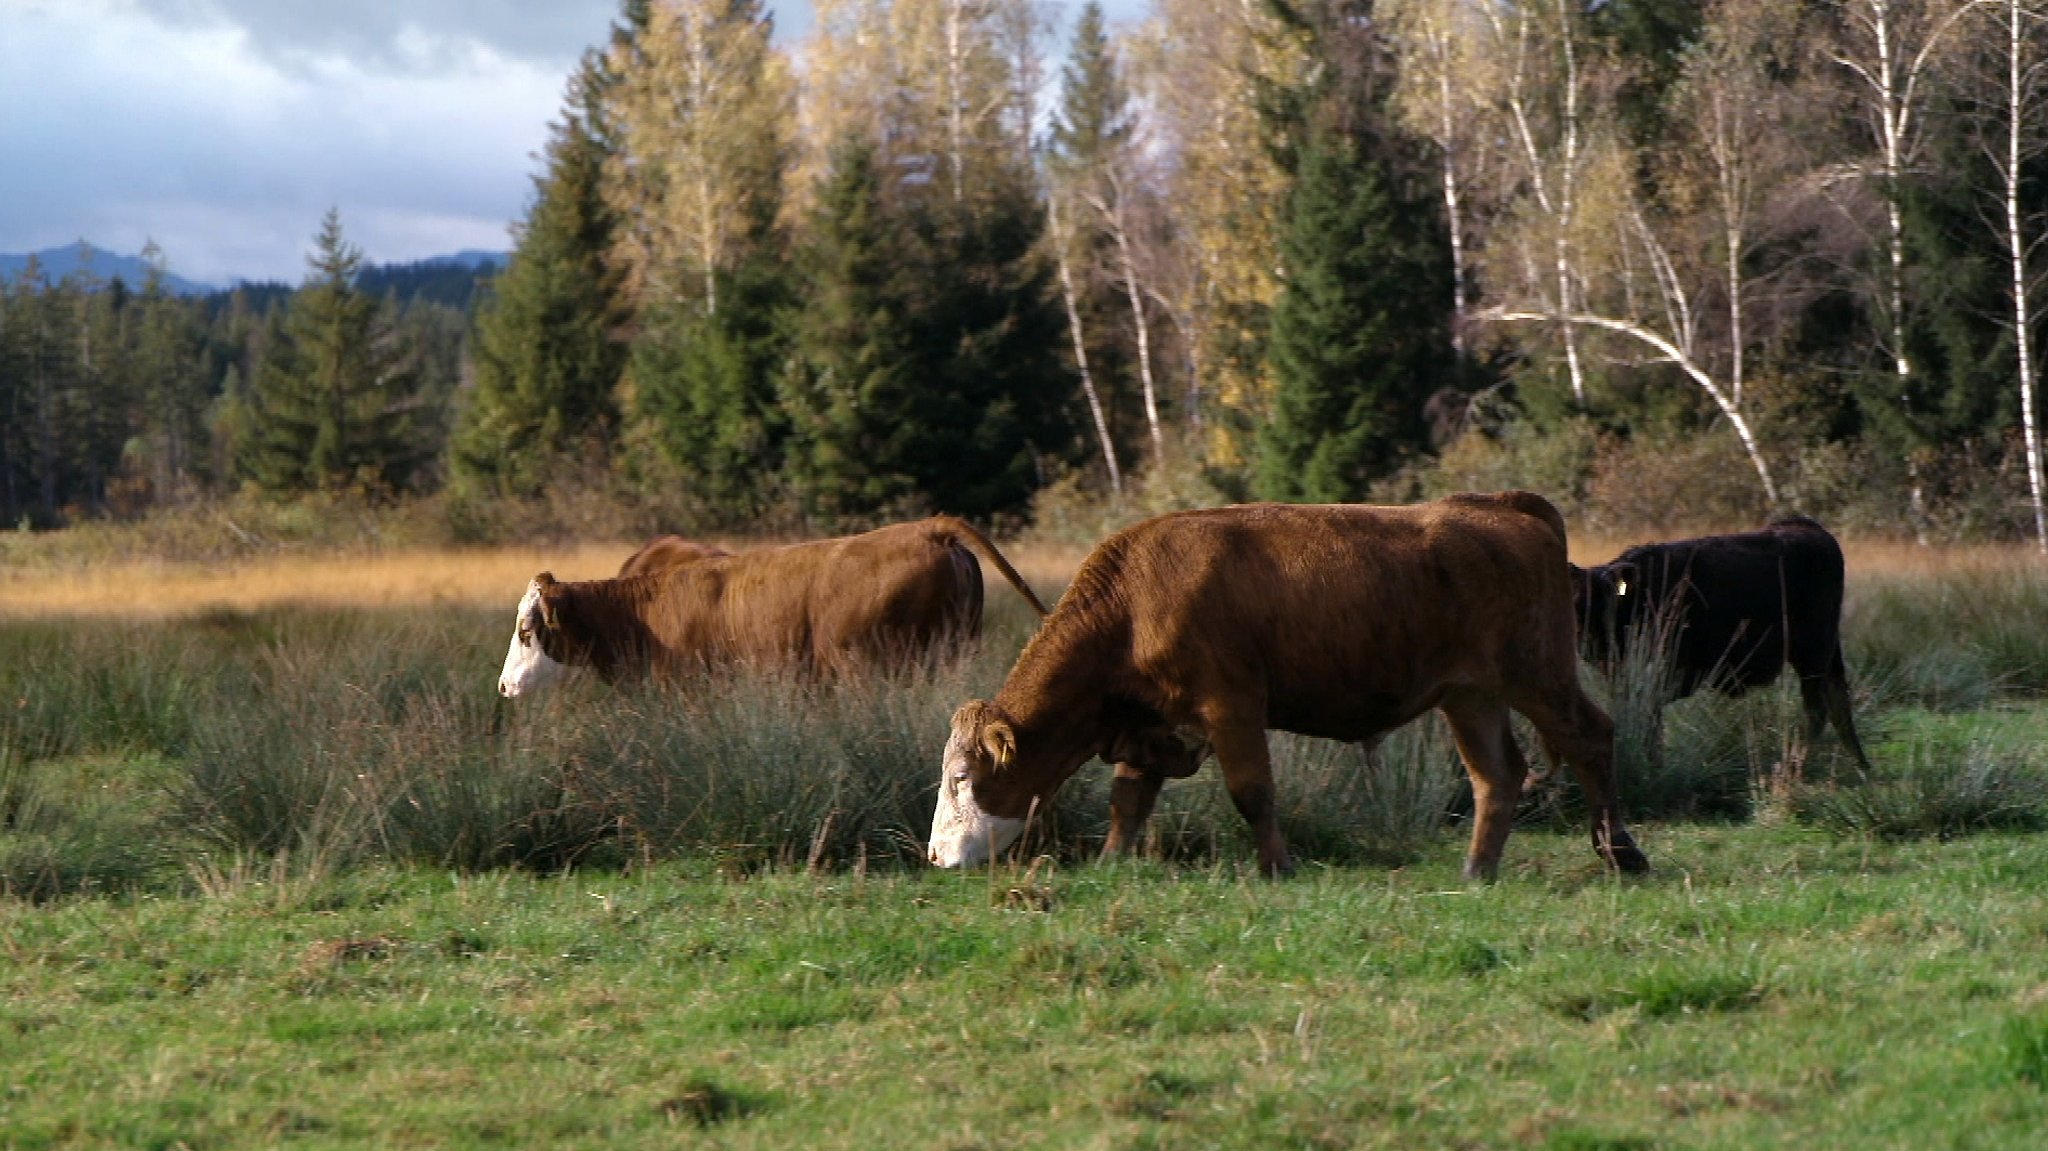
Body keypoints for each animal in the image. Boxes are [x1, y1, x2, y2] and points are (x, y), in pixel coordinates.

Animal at [929, 487, 1646, 872]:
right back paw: (1476, 870)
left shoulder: (1232, 705)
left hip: (1539, 674)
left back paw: (1622, 853)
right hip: (1471, 695)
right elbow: (1127, 800)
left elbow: (1252, 792)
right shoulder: (1151, 725)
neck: (1132, 605)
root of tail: (1502, 507)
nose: (935, 856)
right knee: (1497, 775)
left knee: (1592, 737)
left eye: (962, 777)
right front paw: (1110, 861)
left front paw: (1276, 864)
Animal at [1564, 518, 1875, 770]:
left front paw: (1654, 764)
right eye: (1571, 600)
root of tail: (1807, 526)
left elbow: (1649, 714)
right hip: (1826, 652)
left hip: (1812, 651)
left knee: (1817, 709)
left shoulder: (1672, 674)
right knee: (1838, 699)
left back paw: (1797, 764)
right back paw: (1860, 764)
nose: (1575, 632)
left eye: (1600, 600)